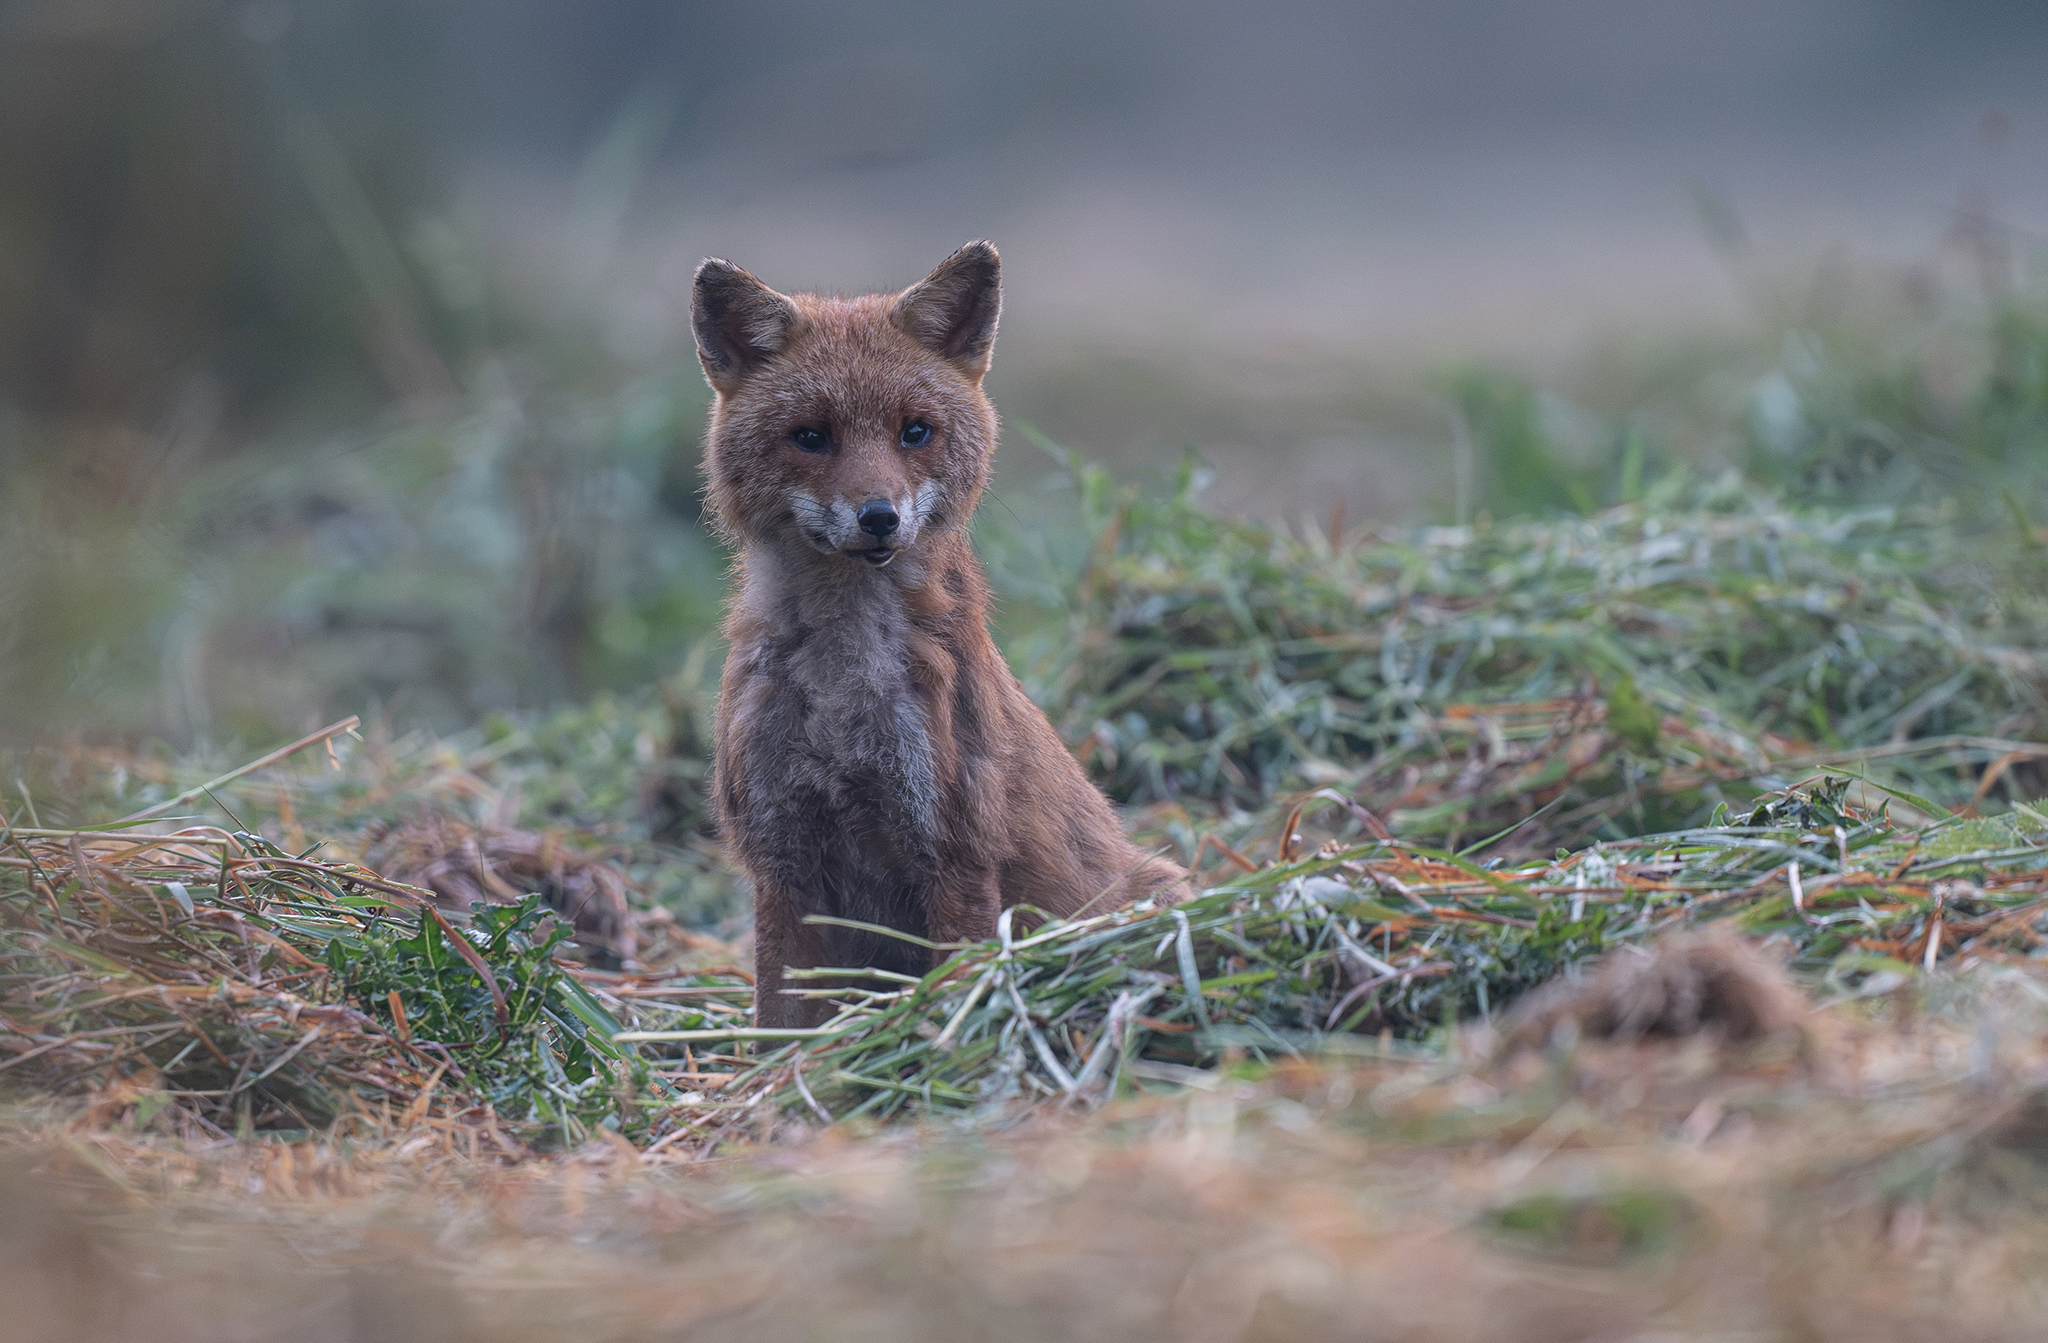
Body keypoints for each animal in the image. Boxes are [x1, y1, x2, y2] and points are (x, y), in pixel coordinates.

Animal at [691, 241, 1189, 1028]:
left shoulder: (953, 853)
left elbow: (953, 991)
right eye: (811, 437)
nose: (878, 516)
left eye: (914, 431)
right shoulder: (781, 861)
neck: (841, 694)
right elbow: (779, 1028)